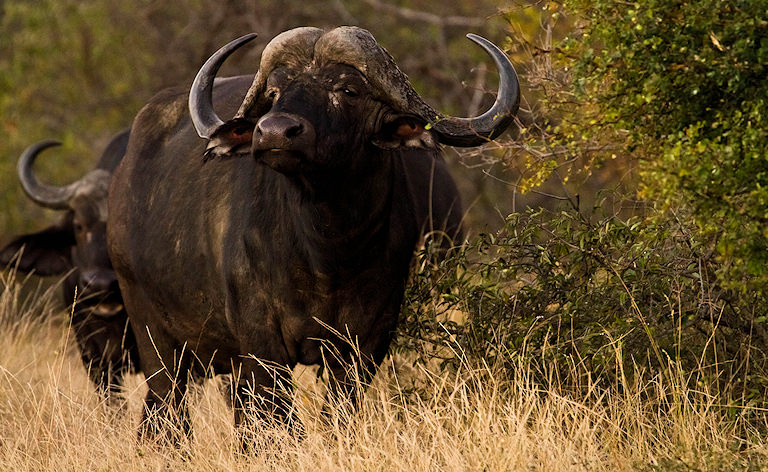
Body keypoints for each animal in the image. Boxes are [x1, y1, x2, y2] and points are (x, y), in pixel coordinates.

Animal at [107, 26, 519, 443]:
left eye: (349, 90)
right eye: (275, 92)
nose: (273, 132)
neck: (327, 255)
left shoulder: (367, 340)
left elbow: (337, 412)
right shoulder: (260, 341)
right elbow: (279, 419)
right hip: (153, 336)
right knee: (167, 408)